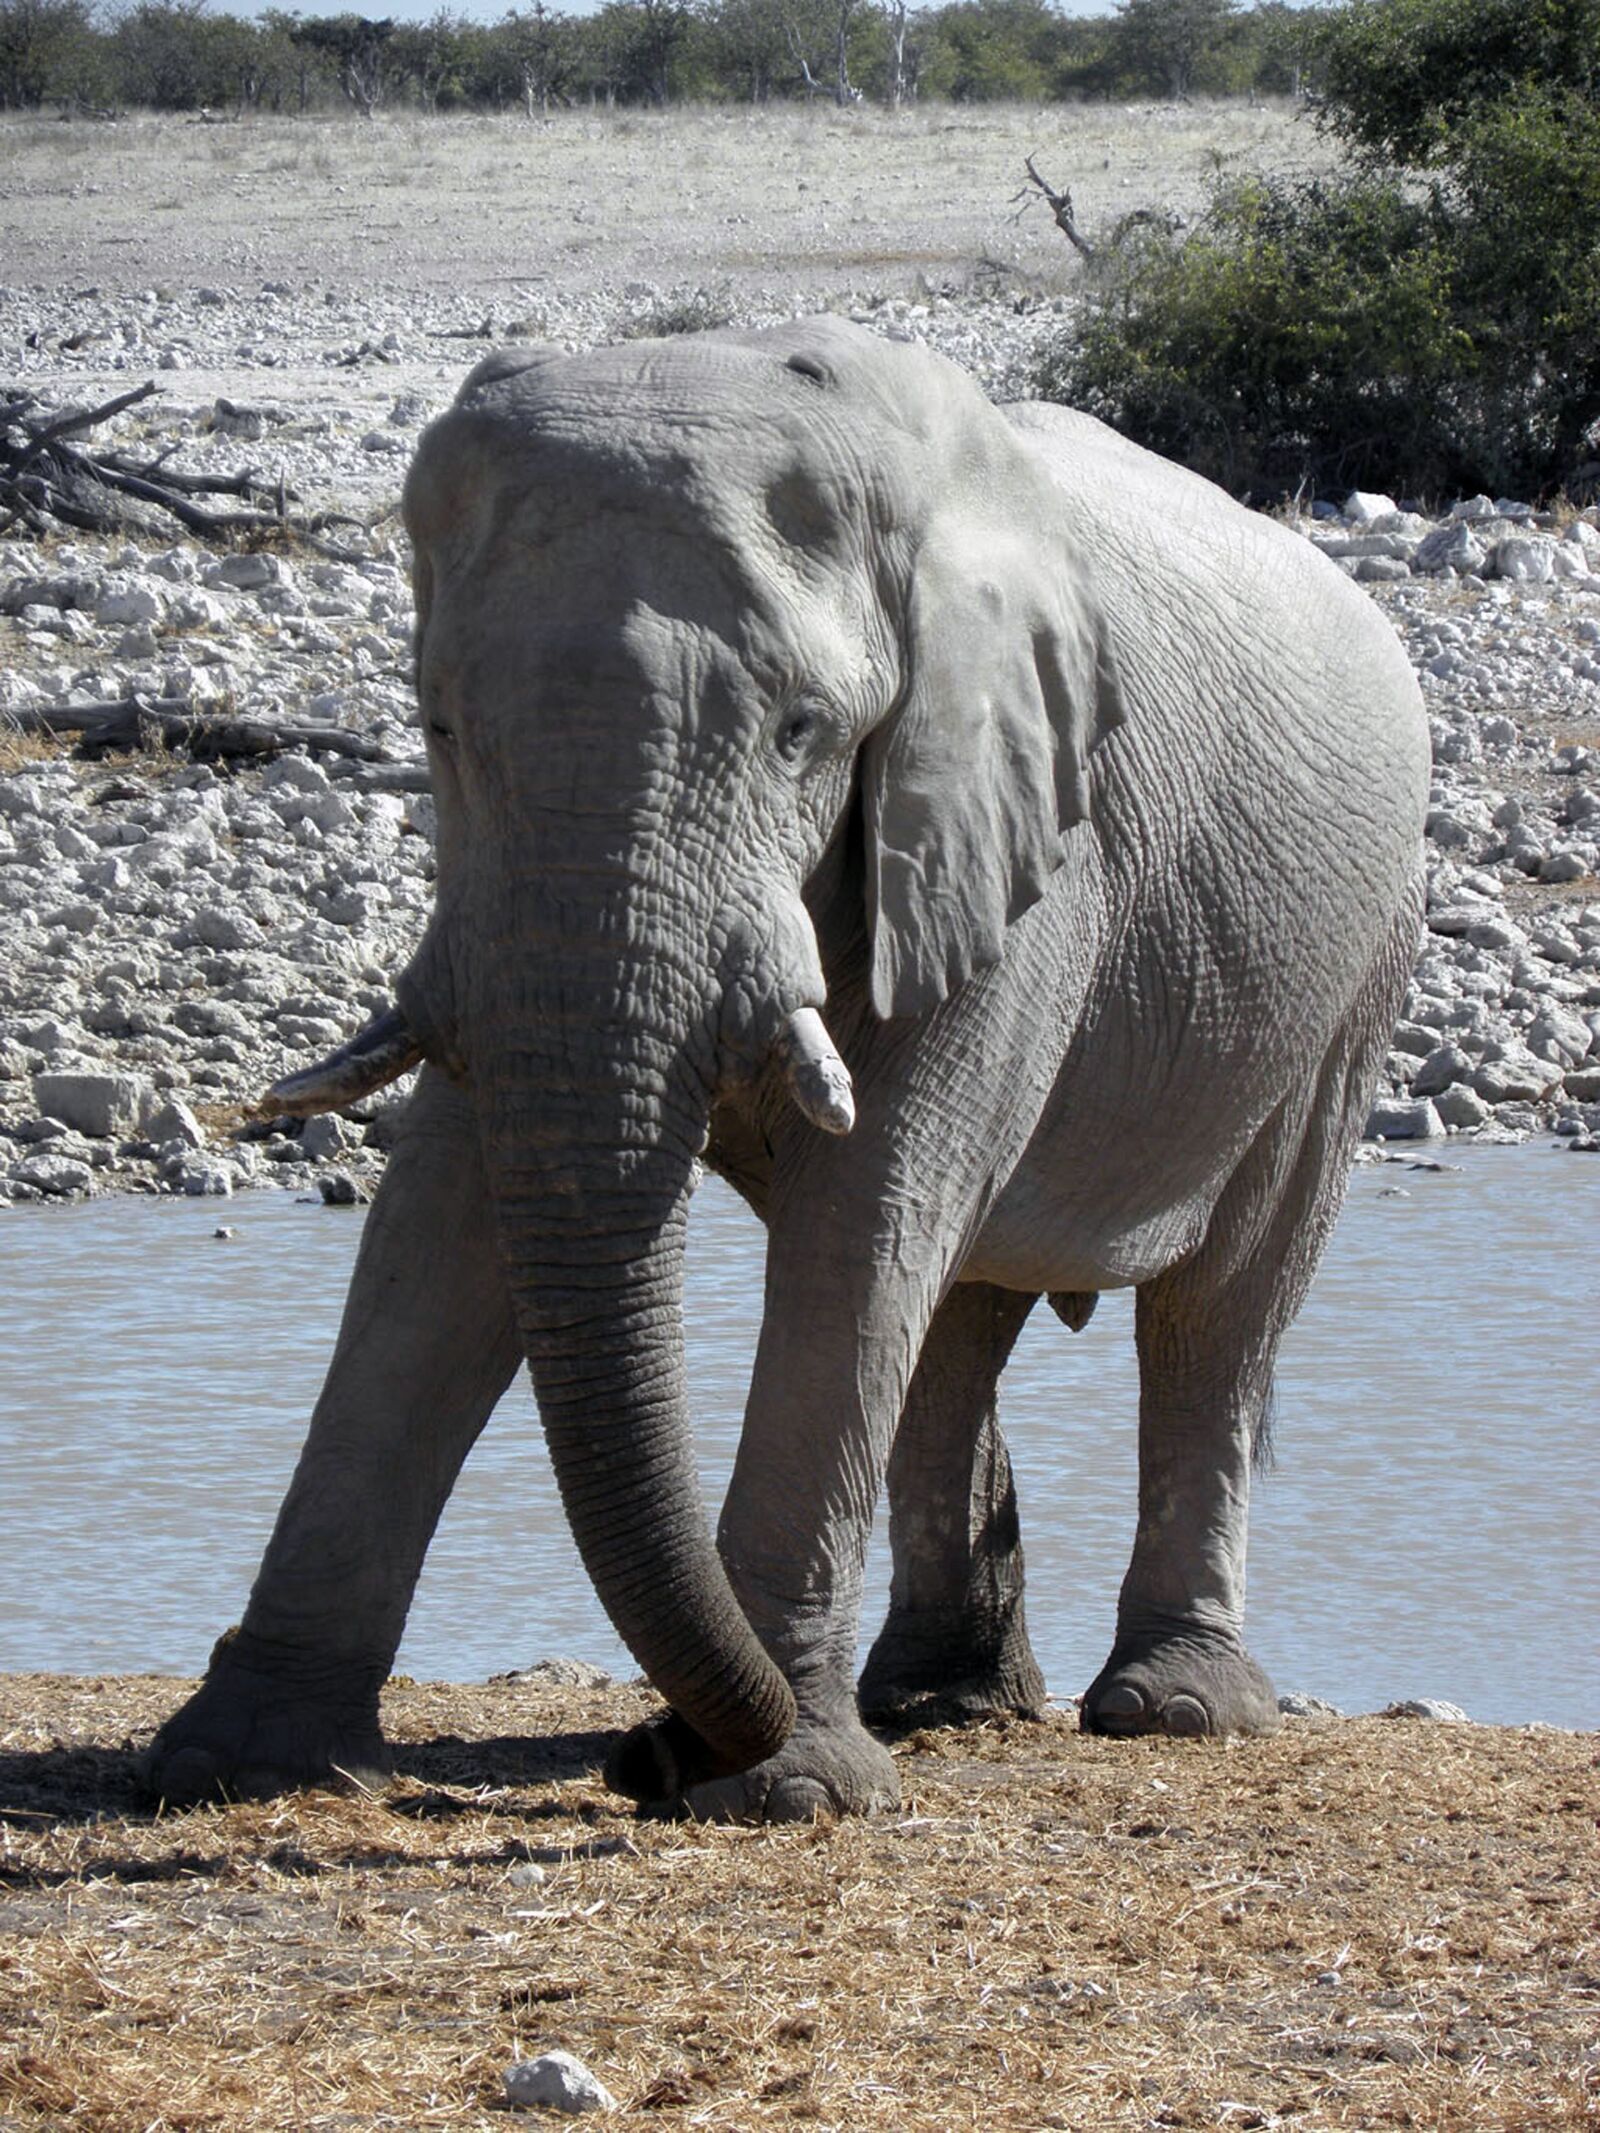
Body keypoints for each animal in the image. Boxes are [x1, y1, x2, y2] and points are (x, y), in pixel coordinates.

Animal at [144, 315, 1433, 1817]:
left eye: (801, 732)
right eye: (439, 725)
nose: (645, 1756)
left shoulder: (1013, 833)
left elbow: (862, 1212)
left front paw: (787, 1788)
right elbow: (442, 1232)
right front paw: (232, 1760)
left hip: (1357, 954)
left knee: (1215, 1304)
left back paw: (1171, 1708)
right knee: (958, 1309)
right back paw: (941, 1700)